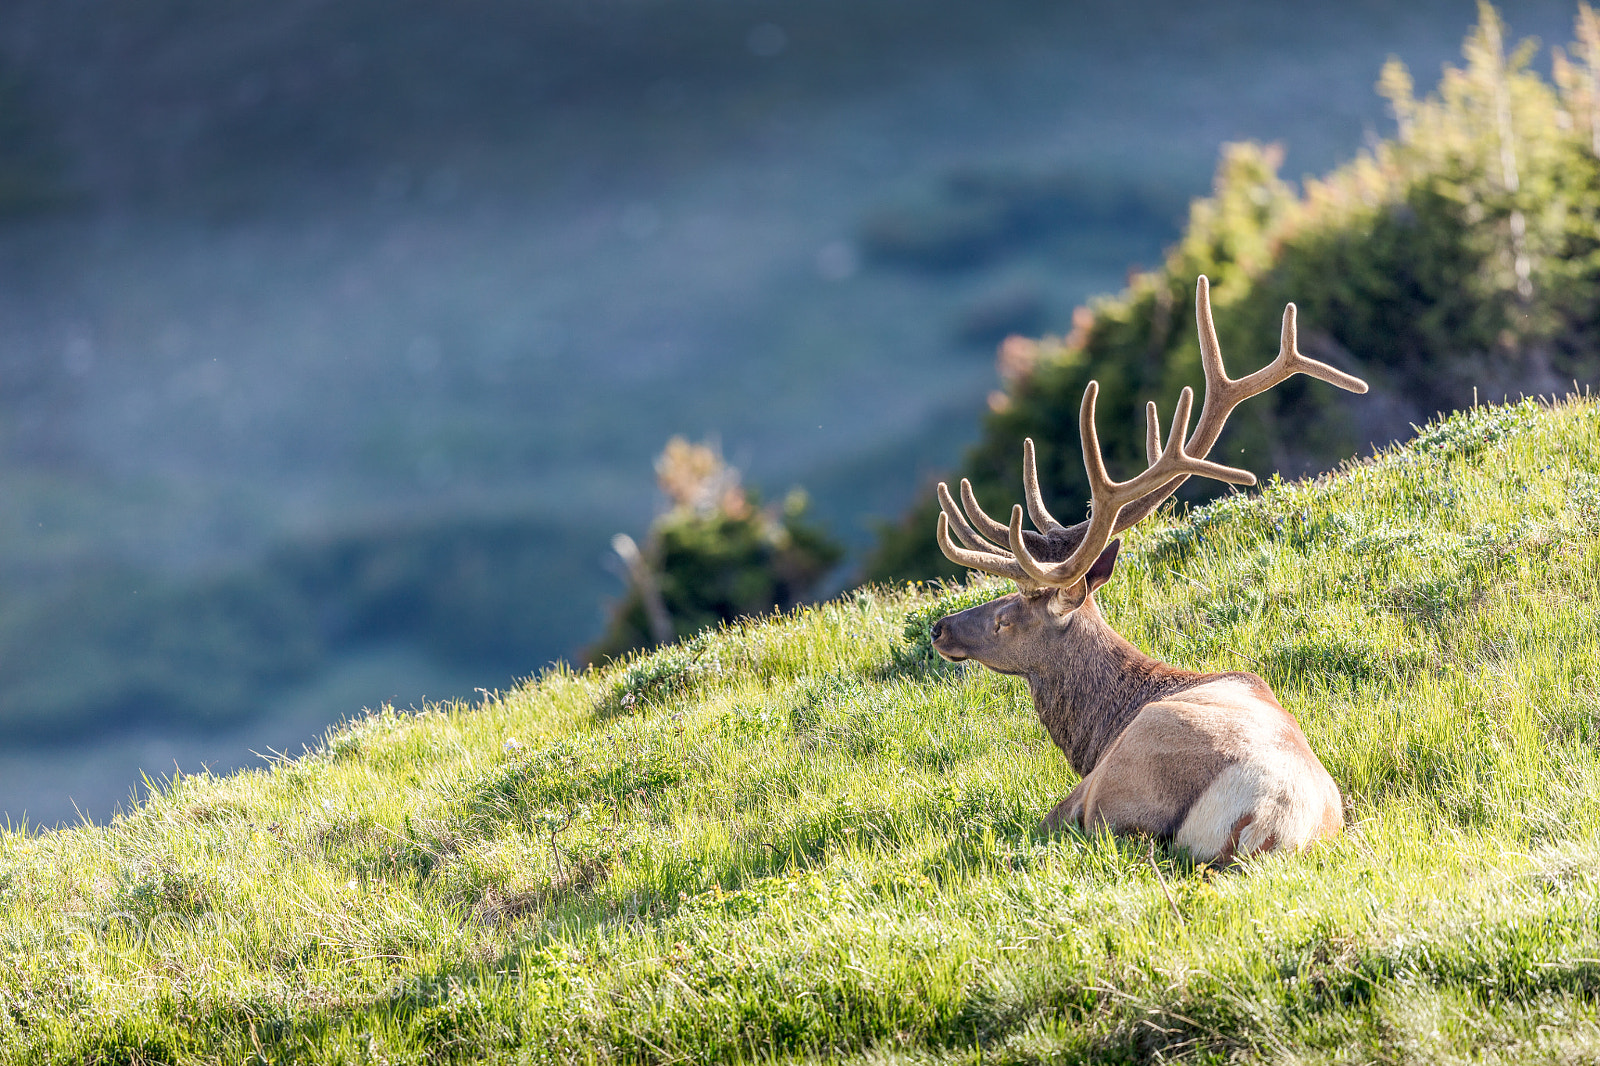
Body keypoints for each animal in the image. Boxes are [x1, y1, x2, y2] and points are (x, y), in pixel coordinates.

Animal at [929, 276, 1368, 864]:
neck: (1097, 734)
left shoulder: (1085, 789)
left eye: (1005, 617)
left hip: (1119, 792)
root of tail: (1266, 821)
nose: (939, 629)